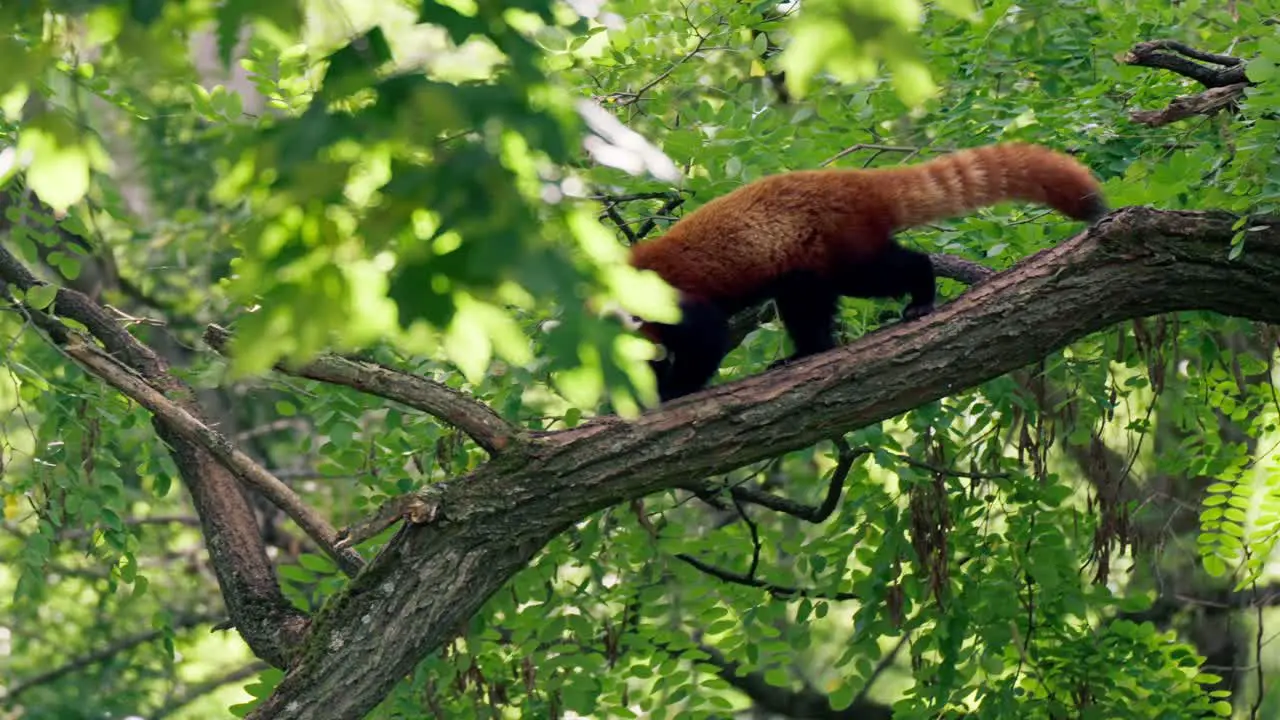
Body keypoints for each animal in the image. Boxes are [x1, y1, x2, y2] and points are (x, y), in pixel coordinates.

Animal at [624, 137, 1105, 399]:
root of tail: (854, 182)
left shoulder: (671, 299)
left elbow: (707, 339)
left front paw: (673, 391)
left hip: (843, 249)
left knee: (889, 270)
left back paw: (921, 295)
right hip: (809, 264)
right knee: (808, 308)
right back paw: (806, 352)